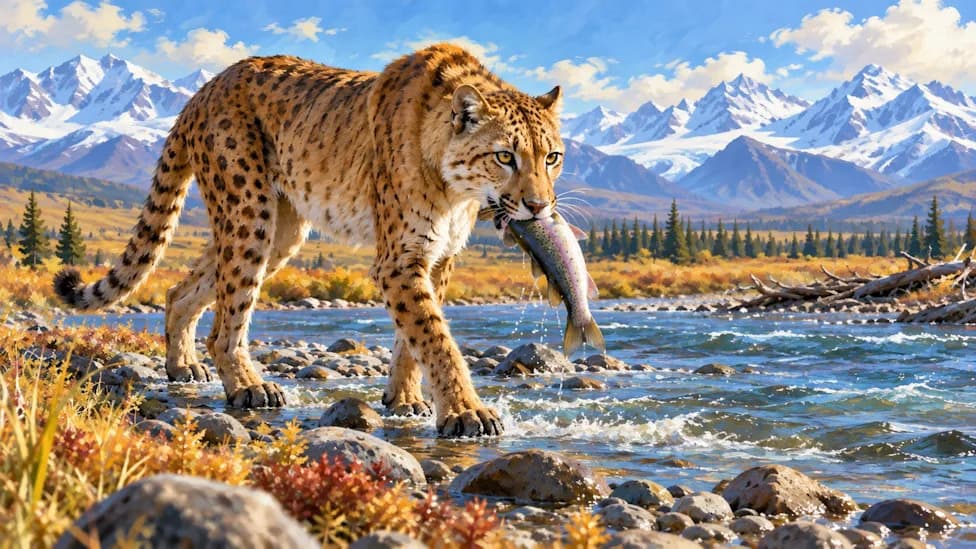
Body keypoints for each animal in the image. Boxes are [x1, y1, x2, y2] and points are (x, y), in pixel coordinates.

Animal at [53, 44, 564, 438]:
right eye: (505, 156)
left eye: (552, 157)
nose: (539, 206)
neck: (456, 185)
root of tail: (208, 84)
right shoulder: (401, 258)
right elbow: (436, 338)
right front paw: (466, 411)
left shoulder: (437, 258)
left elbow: (413, 337)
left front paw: (404, 399)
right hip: (249, 213)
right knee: (227, 320)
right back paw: (248, 386)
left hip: (281, 229)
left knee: (183, 290)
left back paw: (183, 366)